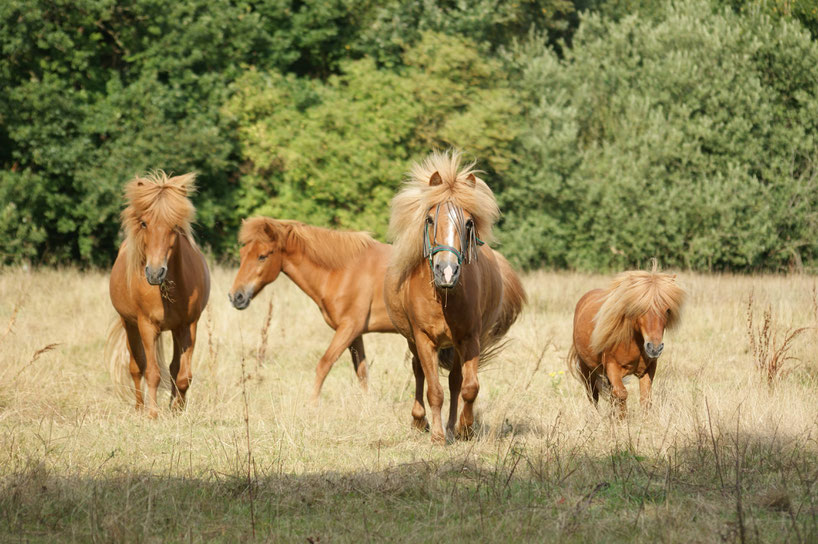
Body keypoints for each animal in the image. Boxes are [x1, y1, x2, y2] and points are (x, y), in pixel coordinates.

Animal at [105, 172, 210, 418]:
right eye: (144, 223)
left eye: (175, 225)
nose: (154, 273)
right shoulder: (147, 325)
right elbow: (151, 372)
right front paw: (152, 414)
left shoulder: (189, 326)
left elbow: (183, 375)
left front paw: (177, 410)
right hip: (129, 325)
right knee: (136, 367)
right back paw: (139, 407)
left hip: (175, 330)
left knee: (172, 368)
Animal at [228, 217, 396, 400]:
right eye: (242, 253)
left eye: (262, 256)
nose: (236, 296)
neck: (345, 271)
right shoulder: (355, 334)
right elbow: (362, 372)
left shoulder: (349, 327)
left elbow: (324, 365)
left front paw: (312, 403)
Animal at [380, 149, 524, 442]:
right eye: (429, 219)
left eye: (468, 223)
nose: (446, 271)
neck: (443, 297)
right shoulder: (424, 339)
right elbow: (433, 389)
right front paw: (436, 435)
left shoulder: (469, 339)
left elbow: (468, 386)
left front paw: (464, 428)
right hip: (413, 341)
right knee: (419, 372)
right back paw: (420, 421)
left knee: (455, 380)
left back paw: (450, 426)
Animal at [568, 264, 684, 416]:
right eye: (640, 308)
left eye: (667, 310)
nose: (654, 348)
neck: (634, 342)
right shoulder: (613, 367)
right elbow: (622, 394)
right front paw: (623, 419)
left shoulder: (648, 370)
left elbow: (645, 399)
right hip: (587, 370)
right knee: (593, 397)